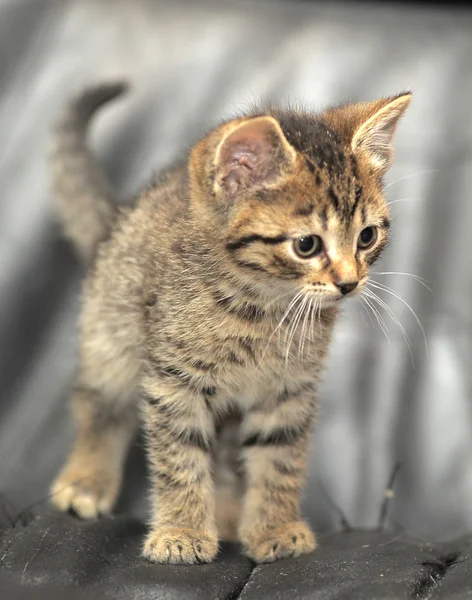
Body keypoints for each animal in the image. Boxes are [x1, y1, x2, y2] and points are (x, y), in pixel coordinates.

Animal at [48, 83, 410, 564]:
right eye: (307, 245)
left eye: (367, 237)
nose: (350, 283)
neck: (261, 308)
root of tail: (115, 225)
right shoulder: (173, 382)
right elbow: (180, 458)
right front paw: (181, 530)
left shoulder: (289, 387)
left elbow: (278, 457)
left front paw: (274, 527)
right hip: (111, 335)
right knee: (100, 405)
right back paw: (88, 479)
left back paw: (229, 514)